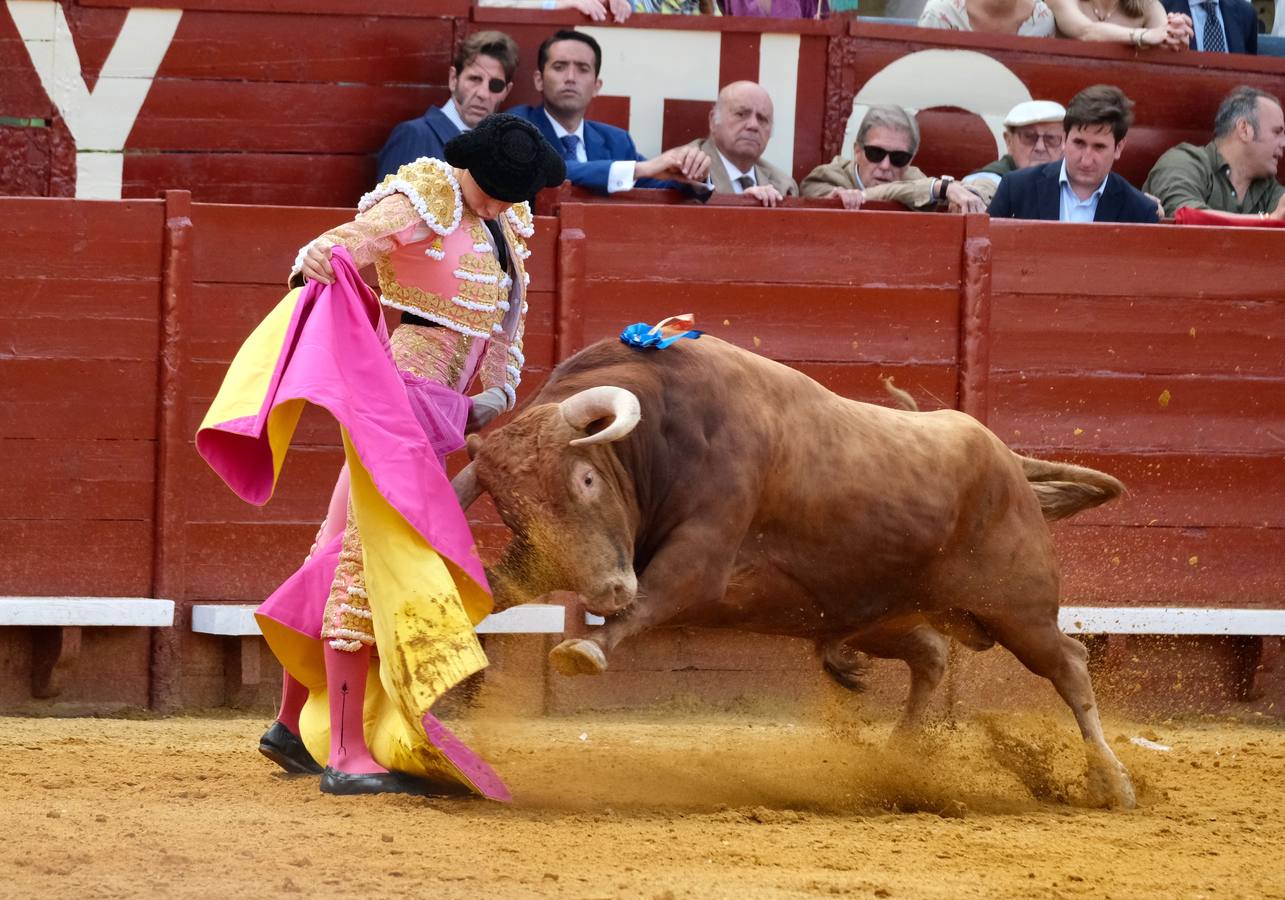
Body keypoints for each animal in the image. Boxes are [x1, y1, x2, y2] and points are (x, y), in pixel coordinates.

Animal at [454, 336, 1135, 807]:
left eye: (588, 479)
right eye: (514, 512)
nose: (606, 591)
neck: (660, 435)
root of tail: (1008, 460)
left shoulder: (701, 558)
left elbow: (657, 596)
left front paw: (584, 650)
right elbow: (493, 586)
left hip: (1018, 608)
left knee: (1069, 666)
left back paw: (1113, 782)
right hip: (870, 615)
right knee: (932, 655)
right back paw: (897, 763)